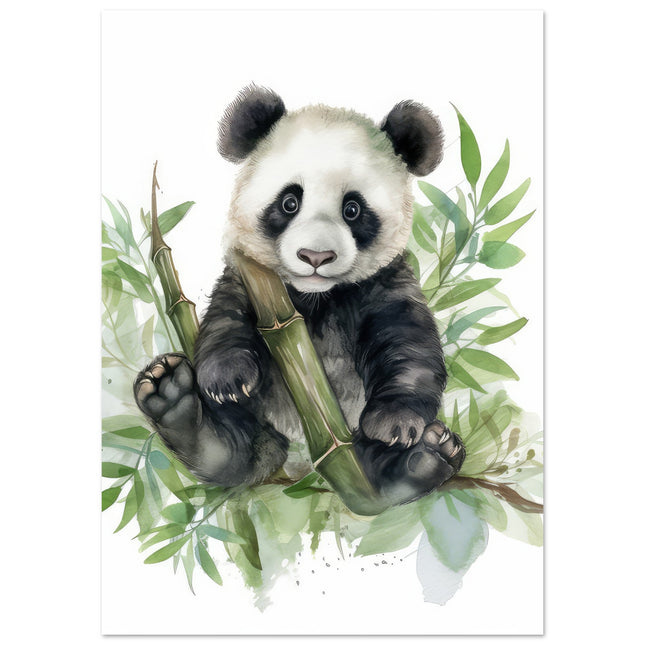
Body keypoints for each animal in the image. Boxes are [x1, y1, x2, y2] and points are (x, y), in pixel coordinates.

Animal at [134, 85, 465, 509]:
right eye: (289, 202)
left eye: (353, 209)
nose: (315, 257)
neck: (314, 298)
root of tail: (299, 466)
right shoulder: (249, 275)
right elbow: (224, 319)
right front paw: (227, 378)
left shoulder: (383, 282)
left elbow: (408, 342)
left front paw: (394, 421)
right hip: (261, 425)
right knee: (232, 451)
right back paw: (172, 395)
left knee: (371, 478)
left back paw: (423, 460)